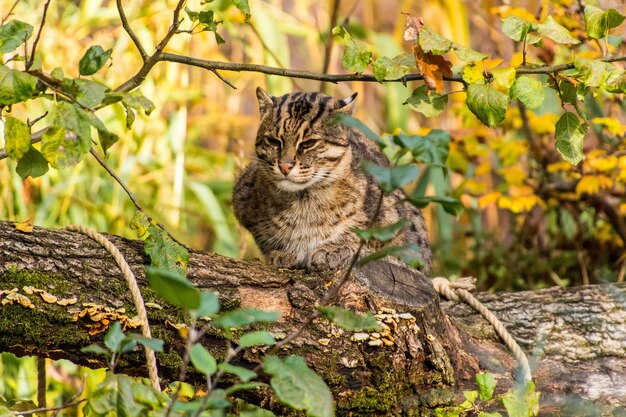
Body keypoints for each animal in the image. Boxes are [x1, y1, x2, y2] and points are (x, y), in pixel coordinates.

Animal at [232, 88, 432, 272]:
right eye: (273, 141)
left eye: (308, 143)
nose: (285, 166)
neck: (303, 200)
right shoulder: (241, 201)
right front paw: (282, 252)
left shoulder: (405, 232)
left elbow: (363, 238)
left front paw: (334, 248)